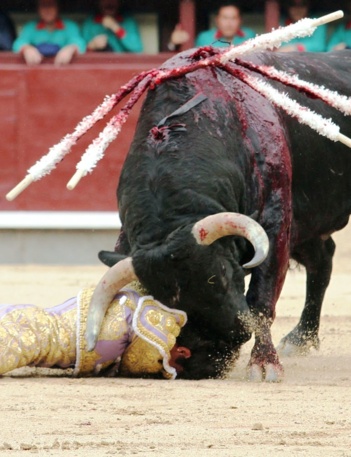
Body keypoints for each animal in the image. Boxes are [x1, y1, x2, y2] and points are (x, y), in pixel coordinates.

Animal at [97, 48, 351, 380]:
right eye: (156, 297)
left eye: (222, 277)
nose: (198, 360)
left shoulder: (274, 224)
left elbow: (260, 300)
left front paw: (264, 364)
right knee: (322, 261)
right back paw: (300, 339)